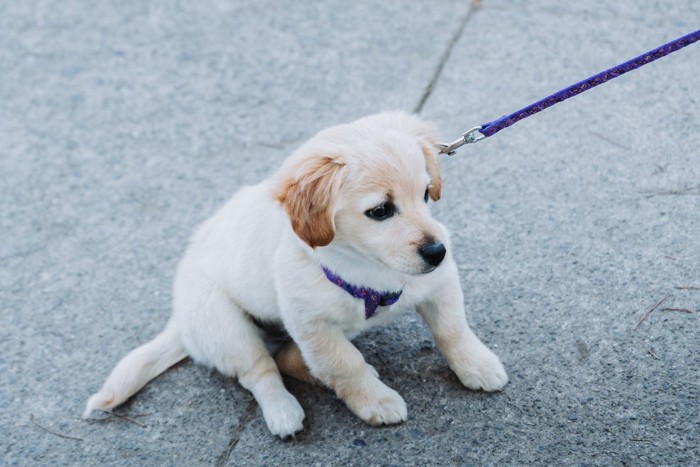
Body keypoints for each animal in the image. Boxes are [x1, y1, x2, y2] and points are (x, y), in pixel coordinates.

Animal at [83, 112, 508, 438]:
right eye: (380, 211)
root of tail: (180, 323)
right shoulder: (312, 324)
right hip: (225, 326)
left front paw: (477, 365)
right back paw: (283, 412)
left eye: (425, 194)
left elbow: (452, 330)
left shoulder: (439, 282)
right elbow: (345, 365)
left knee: (289, 357)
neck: (369, 266)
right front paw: (374, 400)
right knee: (261, 370)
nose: (437, 252)